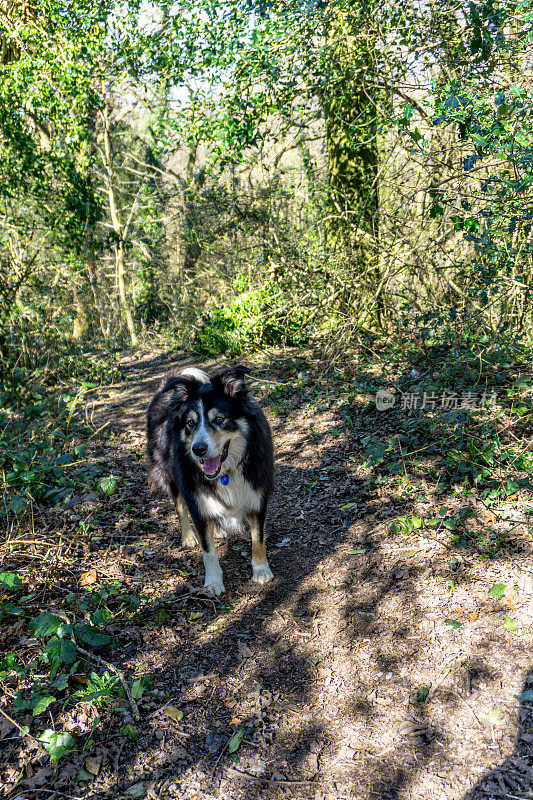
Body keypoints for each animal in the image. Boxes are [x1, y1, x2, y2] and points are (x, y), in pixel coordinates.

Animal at [147, 364, 274, 592]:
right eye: (190, 423)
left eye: (219, 419)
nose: (198, 449)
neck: (227, 473)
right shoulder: (196, 500)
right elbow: (208, 551)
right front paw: (213, 581)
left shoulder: (257, 496)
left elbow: (258, 538)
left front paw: (261, 570)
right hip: (172, 477)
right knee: (180, 506)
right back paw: (189, 536)